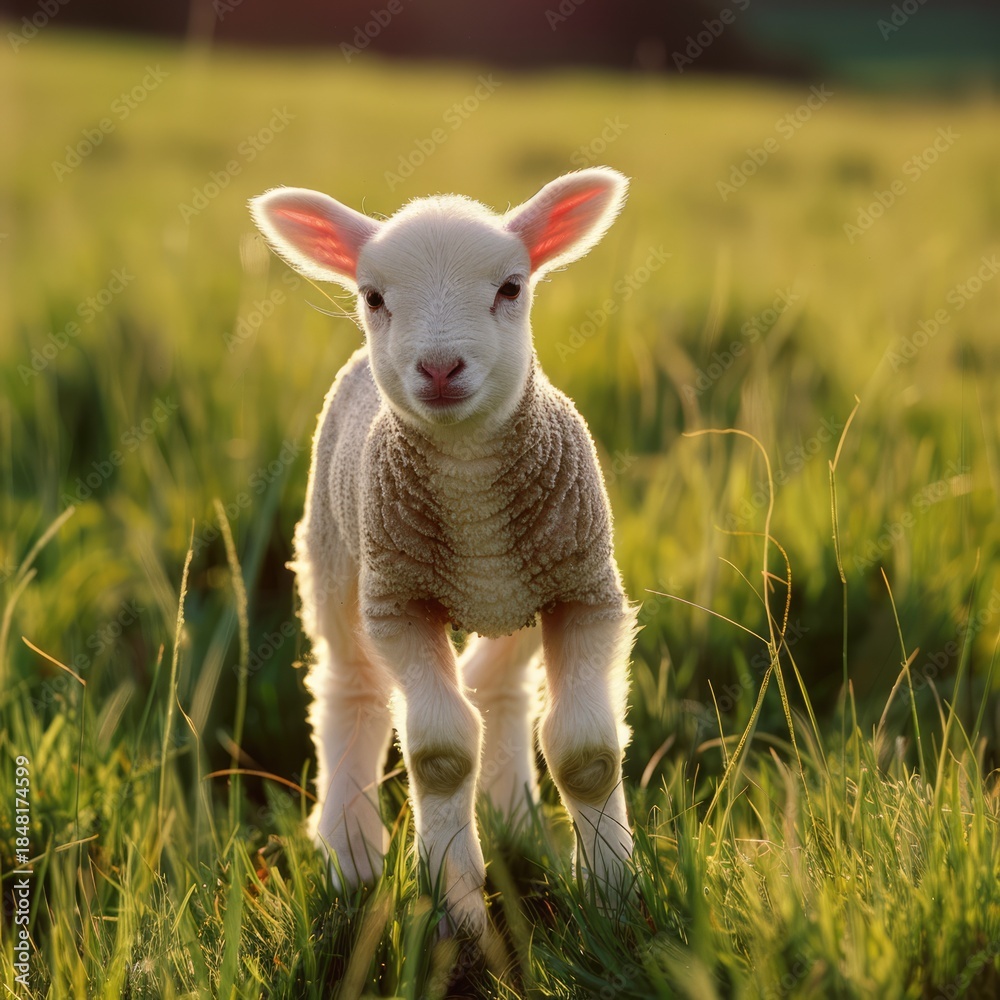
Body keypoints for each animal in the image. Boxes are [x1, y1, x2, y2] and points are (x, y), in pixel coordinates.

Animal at [249, 166, 637, 935]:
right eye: (372, 297)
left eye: (512, 287)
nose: (438, 366)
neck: (469, 482)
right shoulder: (401, 602)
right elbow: (440, 756)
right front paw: (457, 913)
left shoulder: (584, 592)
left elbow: (586, 755)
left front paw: (613, 900)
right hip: (335, 555)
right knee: (352, 690)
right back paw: (351, 854)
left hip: (527, 589)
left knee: (498, 685)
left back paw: (516, 823)